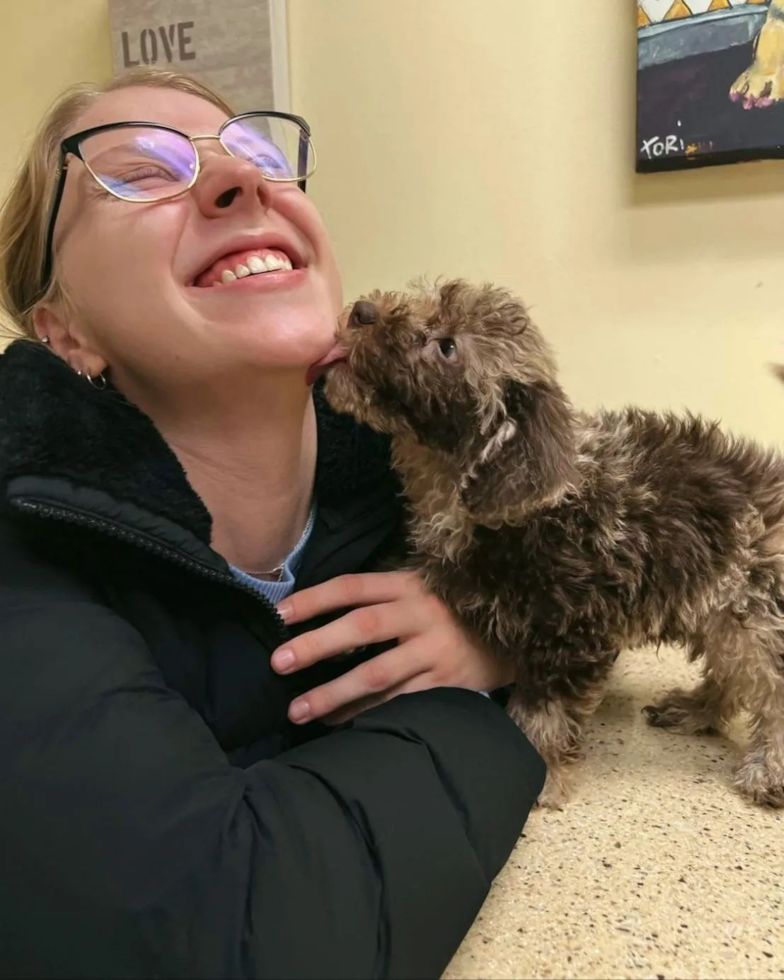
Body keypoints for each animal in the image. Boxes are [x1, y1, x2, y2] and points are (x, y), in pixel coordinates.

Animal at [318, 280, 784, 808]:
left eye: (447, 346)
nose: (363, 310)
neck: (455, 483)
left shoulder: (574, 632)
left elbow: (545, 714)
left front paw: (540, 772)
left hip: (752, 610)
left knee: (769, 685)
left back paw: (768, 766)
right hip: (714, 602)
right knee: (732, 675)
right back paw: (697, 709)